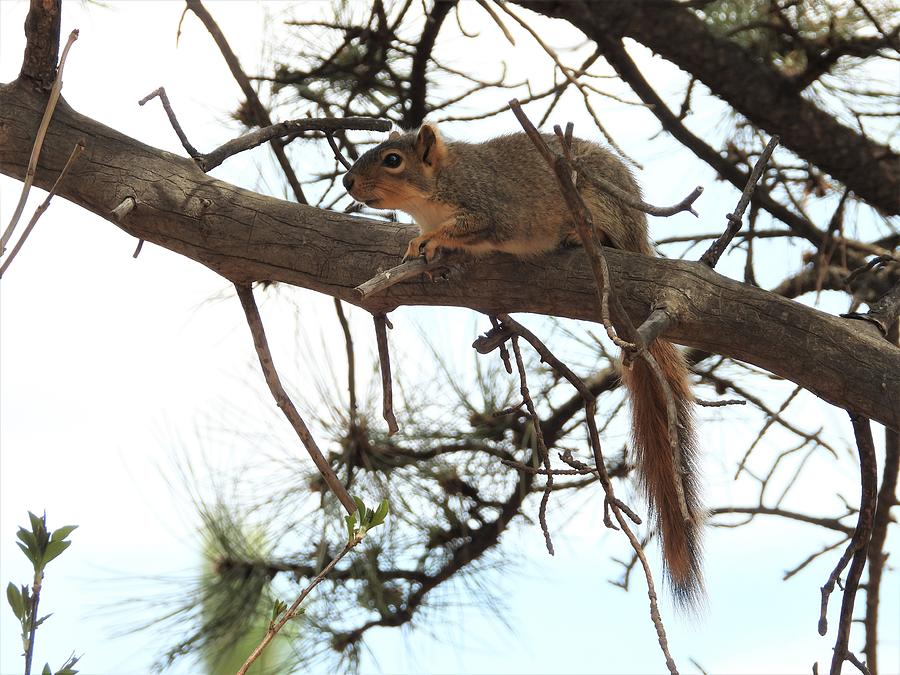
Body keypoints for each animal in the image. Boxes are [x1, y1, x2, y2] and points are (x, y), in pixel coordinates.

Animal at [342, 123, 705, 609]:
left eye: (393, 161)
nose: (348, 182)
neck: (435, 191)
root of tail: (639, 231)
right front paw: (419, 245)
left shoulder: (490, 207)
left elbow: (472, 228)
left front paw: (429, 242)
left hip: (601, 210)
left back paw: (580, 236)